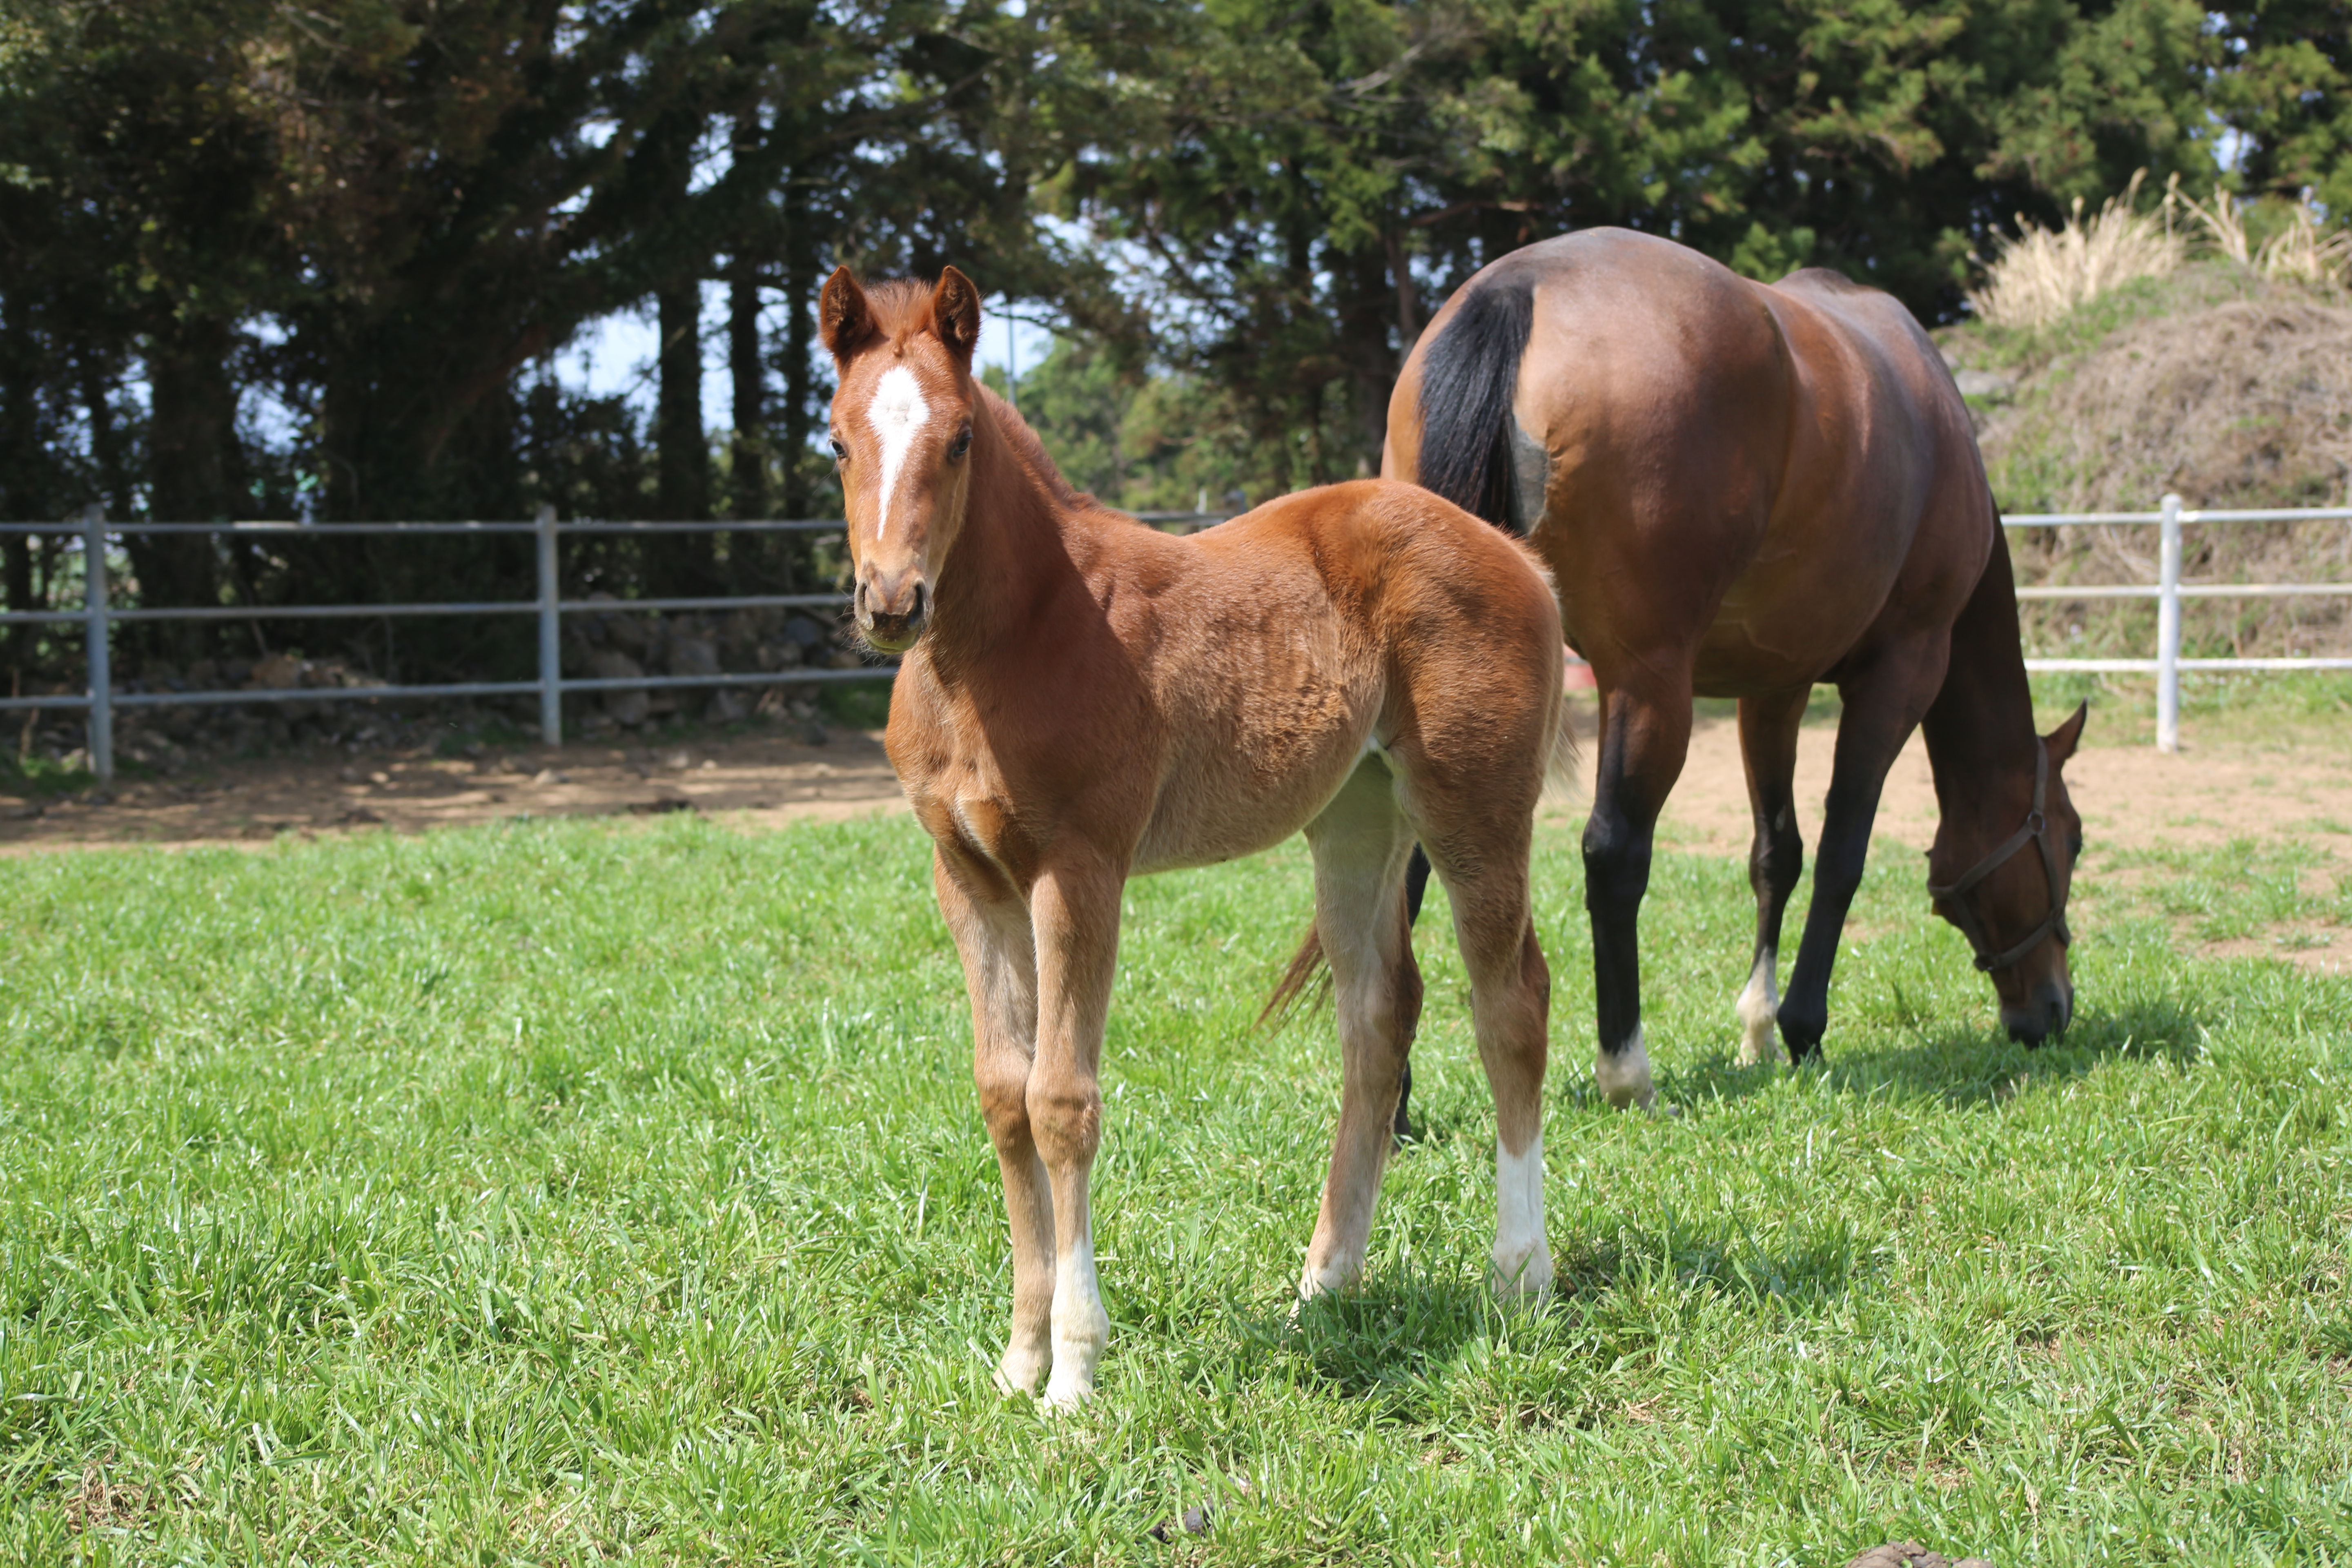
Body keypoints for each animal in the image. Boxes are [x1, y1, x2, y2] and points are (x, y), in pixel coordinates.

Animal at [818, 263, 1571, 1401]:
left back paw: (1519, 1274)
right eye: (835, 439)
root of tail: (1521, 558)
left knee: (1509, 1003)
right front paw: (1017, 1357)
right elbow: (1002, 1096)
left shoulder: (1080, 868)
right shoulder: (968, 876)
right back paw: (1323, 1284)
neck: (1010, 641)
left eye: (959, 438)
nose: (892, 601)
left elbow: (1061, 1099)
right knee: (1377, 1019)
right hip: (1356, 819)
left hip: (1473, 808)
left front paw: (1074, 1373)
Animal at [1383, 230, 2088, 1114]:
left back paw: (1393, 1100)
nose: (2053, 1011)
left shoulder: (1773, 686)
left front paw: (1757, 1030)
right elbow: (1842, 851)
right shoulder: (1902, 671)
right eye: (2071, 840)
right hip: (1650, 688)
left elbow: (1776, 853)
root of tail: (1521, 286)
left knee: (1406, 858)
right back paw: (1627, 1071)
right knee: (1615, 854)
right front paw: (1803, 1028)